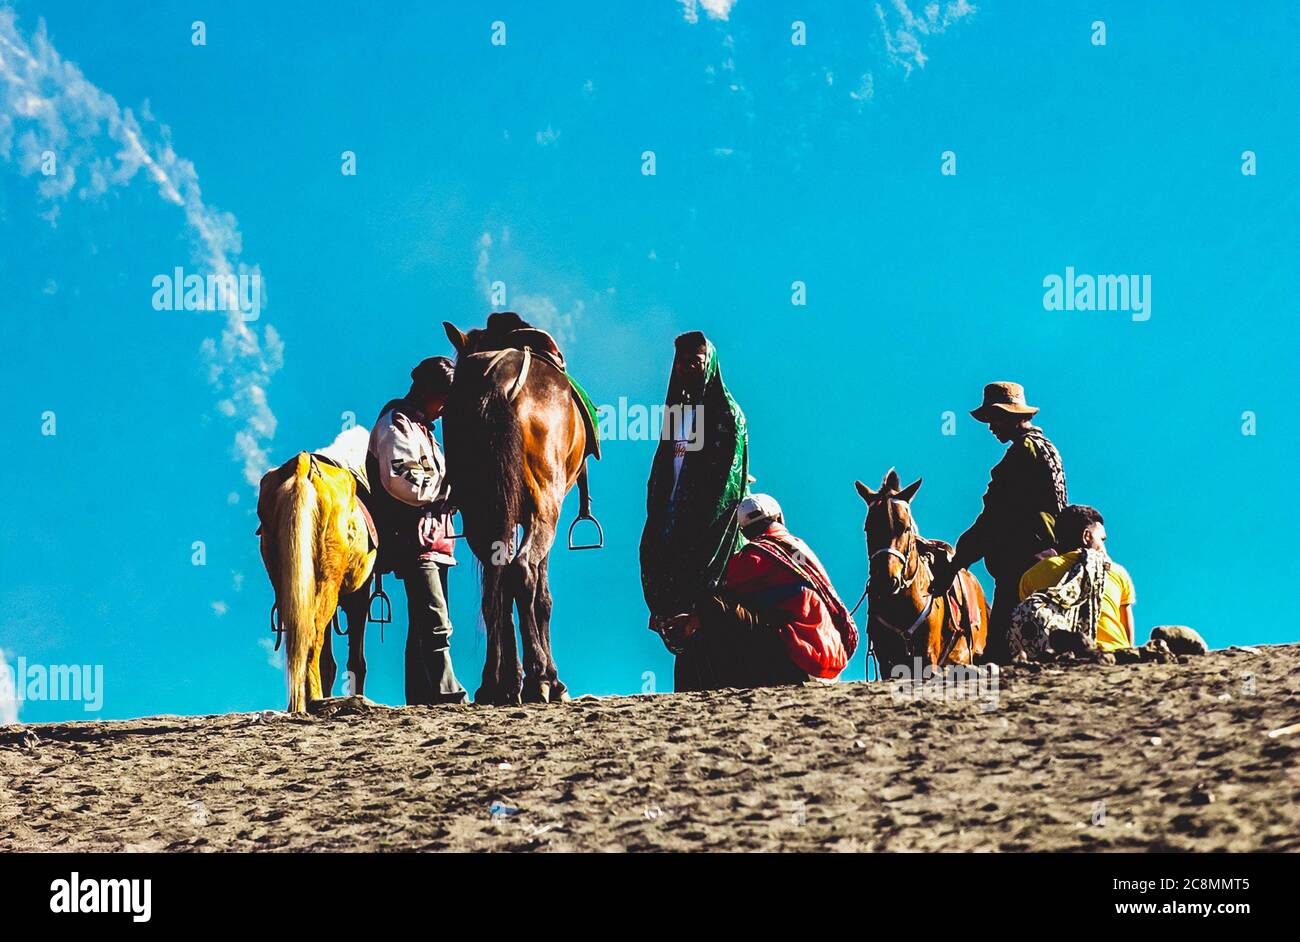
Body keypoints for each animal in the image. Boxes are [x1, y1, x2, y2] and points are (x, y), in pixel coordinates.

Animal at [254, 452, 374, 706]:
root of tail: (302, 466)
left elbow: (329, 661)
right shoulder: (359, 595)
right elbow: (356, 661)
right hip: (327, 583)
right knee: (311, 638)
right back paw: (313, 699)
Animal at [447, 311, 590, 701]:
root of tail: (497, 382)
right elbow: (542, 595)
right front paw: (550, 679)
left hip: (482, 511)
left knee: (497, 583)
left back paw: (498, 682)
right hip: (545, 507)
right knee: (522, 571)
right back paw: (539, 676)